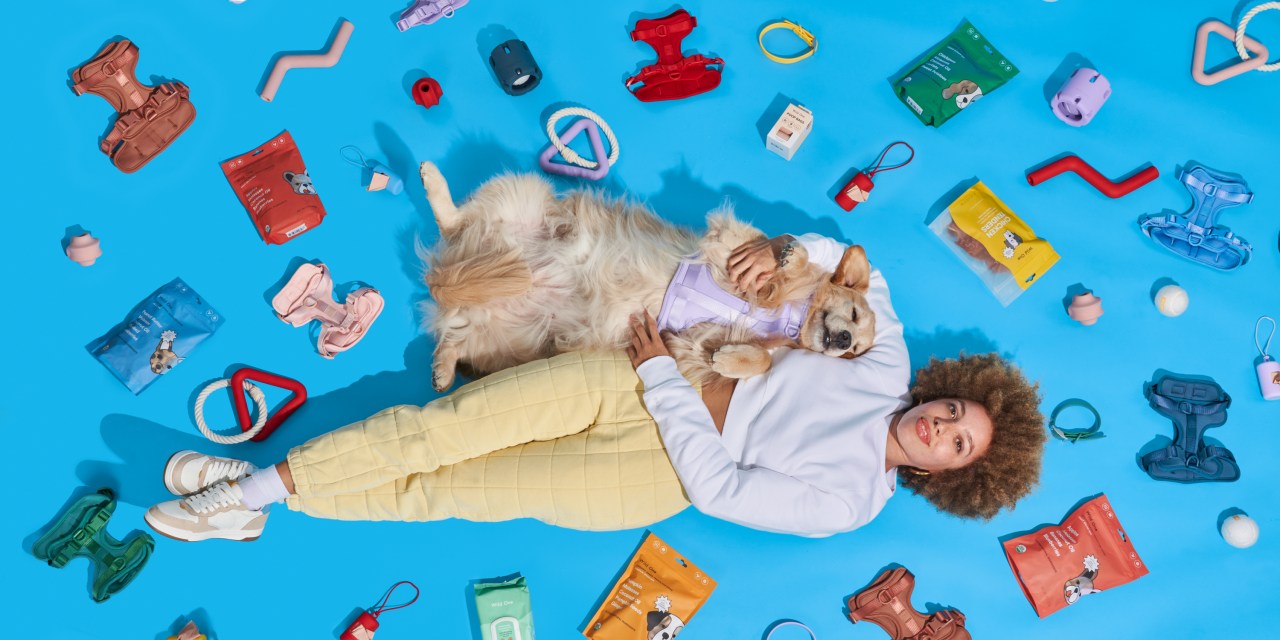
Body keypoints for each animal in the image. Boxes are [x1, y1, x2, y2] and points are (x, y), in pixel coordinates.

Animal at [414, 162, 875, 391]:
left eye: (855, 352)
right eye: (853, 315)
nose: (843, 341)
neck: (792, 317)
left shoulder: (689, 344)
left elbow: (756, 357)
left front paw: (731, 360)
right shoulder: (727, 242)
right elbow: (773, 253)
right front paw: (787, 256)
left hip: (513, 339)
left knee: (454, 339)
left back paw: (441, 371)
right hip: (520, 195)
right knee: (453, 220)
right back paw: (432, 178)